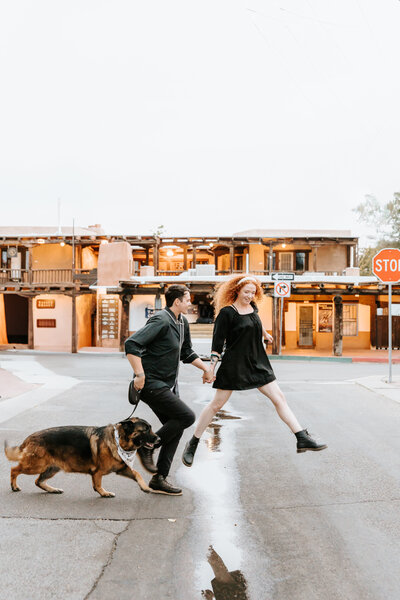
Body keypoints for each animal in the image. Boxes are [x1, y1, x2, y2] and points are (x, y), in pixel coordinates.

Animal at [4, 418, 159, 496]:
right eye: (145, 430)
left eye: (150, 428)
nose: (159, 439)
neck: (119, 440)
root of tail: (30, 437)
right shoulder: (98, 472)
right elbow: (98, 485)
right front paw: (104, 493)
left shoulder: (122, 469)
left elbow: (137, 473)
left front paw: (145, 487)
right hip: (36, 466)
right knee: (14, 469)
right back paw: (14, 486)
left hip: (51, 468)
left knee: (38, 481)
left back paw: (52, 489)